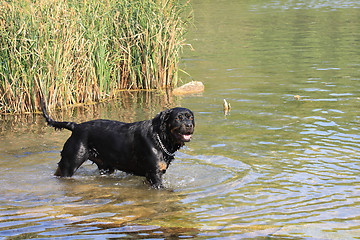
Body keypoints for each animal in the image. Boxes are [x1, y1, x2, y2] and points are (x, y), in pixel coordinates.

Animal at [41, 102, 194, 188]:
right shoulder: (154, 174)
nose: (189, 125)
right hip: (70, 163)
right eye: (178, 118)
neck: (161, 138)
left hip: (105, 166)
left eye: (191, 117)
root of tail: (76, 127)